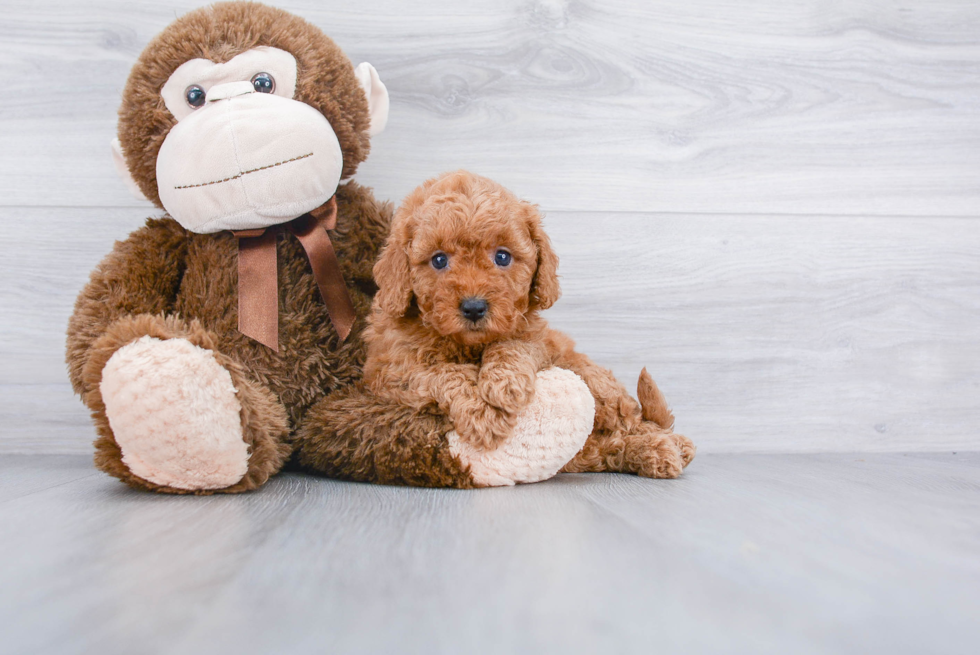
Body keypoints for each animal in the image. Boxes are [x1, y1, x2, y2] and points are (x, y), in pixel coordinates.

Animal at [364, 172, 692, 480]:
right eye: (439, 260)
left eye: (502, 256)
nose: (474, 307)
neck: (468, 344)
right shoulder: (391, 370)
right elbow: (443, 373)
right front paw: (482, 412)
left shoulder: (535, 338)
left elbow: (512, 345)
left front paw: (504, 385)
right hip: (586, 450)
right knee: (609, 446)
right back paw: (656, 450)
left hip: (596, 384)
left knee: (630, 419)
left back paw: (671, 445)